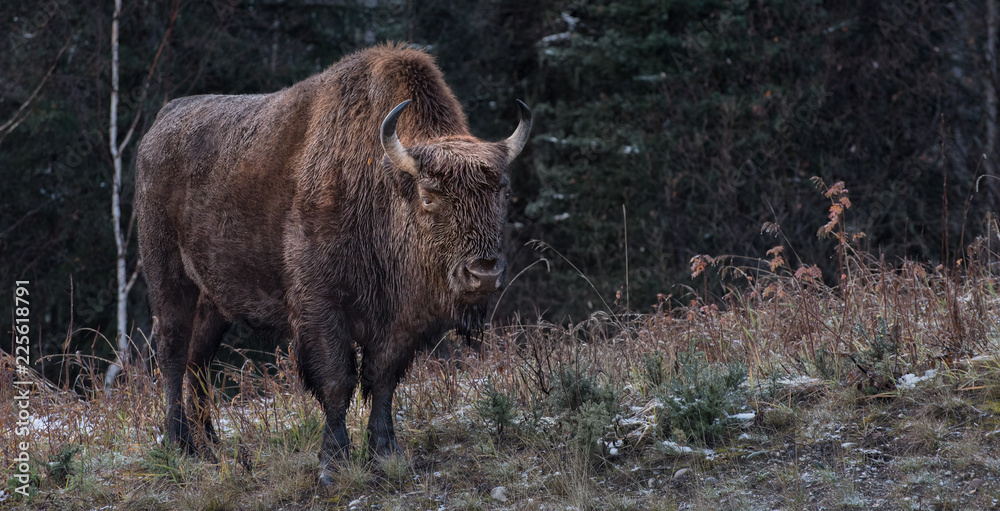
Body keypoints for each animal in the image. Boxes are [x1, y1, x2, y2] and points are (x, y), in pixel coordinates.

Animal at [135, 43, 531, 483]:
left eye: (504, 192)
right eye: (429, 196)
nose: (483, 273)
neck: (384, 182)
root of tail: (160, 126)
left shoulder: (398, 322)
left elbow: (382, 379)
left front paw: (385, 453)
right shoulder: (320, 308)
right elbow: (337, 381)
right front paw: (333, 463)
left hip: (215, 299)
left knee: (198, 360)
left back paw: (210, 444)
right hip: (167, 275)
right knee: (172, 351)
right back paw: (180, 444)